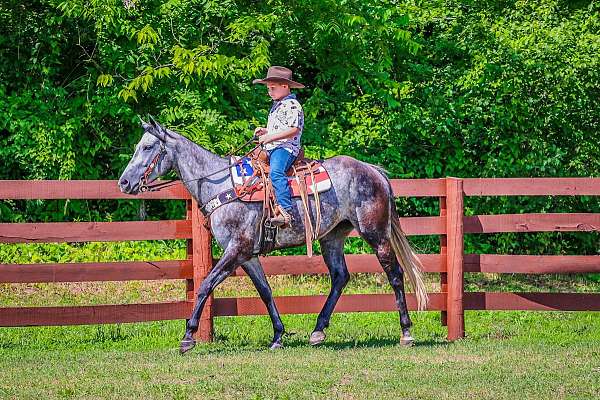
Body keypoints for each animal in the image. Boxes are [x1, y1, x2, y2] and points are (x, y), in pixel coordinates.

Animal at [118, 117, 426, 352]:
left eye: (147, 146)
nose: (123, 182)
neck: (222, 186)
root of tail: (373, 171)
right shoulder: (247, 255)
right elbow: (265, 291)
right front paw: (278, 335)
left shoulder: (236, 250)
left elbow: (205, 285)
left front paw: (188, 336)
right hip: (332, 237)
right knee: (340, 277)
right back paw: (318, 331)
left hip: (376, 234)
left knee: (395, 274)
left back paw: (406, 332)